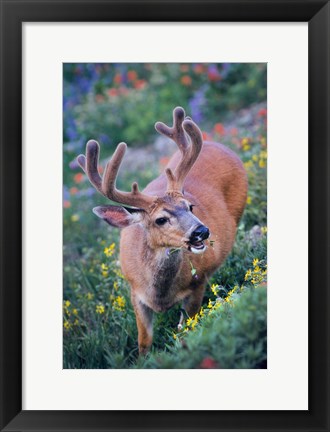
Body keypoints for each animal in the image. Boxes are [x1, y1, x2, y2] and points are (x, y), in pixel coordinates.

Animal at [76, 106, 248, 352]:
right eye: (160, 219)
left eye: (190, 206)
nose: (201, 231)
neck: (160, 295)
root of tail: (218, 144)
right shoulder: (135, 292)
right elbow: (144, 341)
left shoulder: (198, 283)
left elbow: (186, 328)